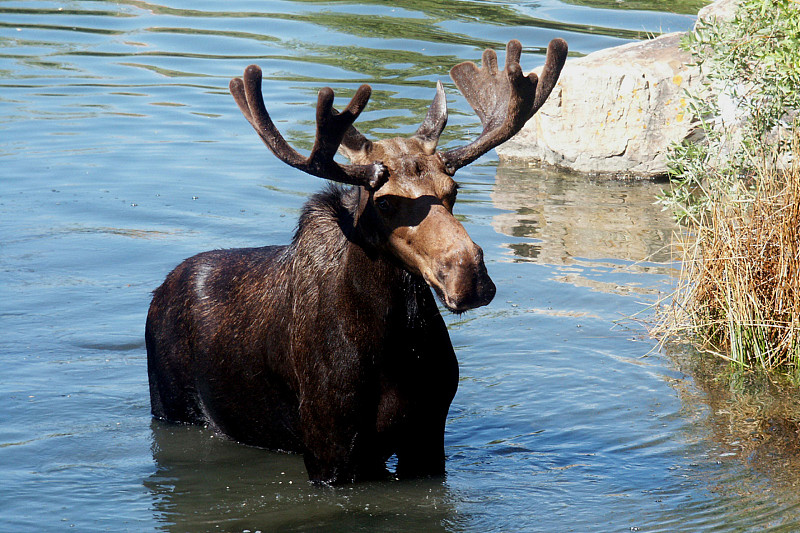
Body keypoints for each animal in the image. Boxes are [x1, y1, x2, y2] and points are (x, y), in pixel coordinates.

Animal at [145, 37, 568, 484]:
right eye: (384, 202)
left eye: (453, 190)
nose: (470, 278)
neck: (394, 342)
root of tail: (161, 290)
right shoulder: (329, 450)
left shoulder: (428, 435)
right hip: (170, 406)